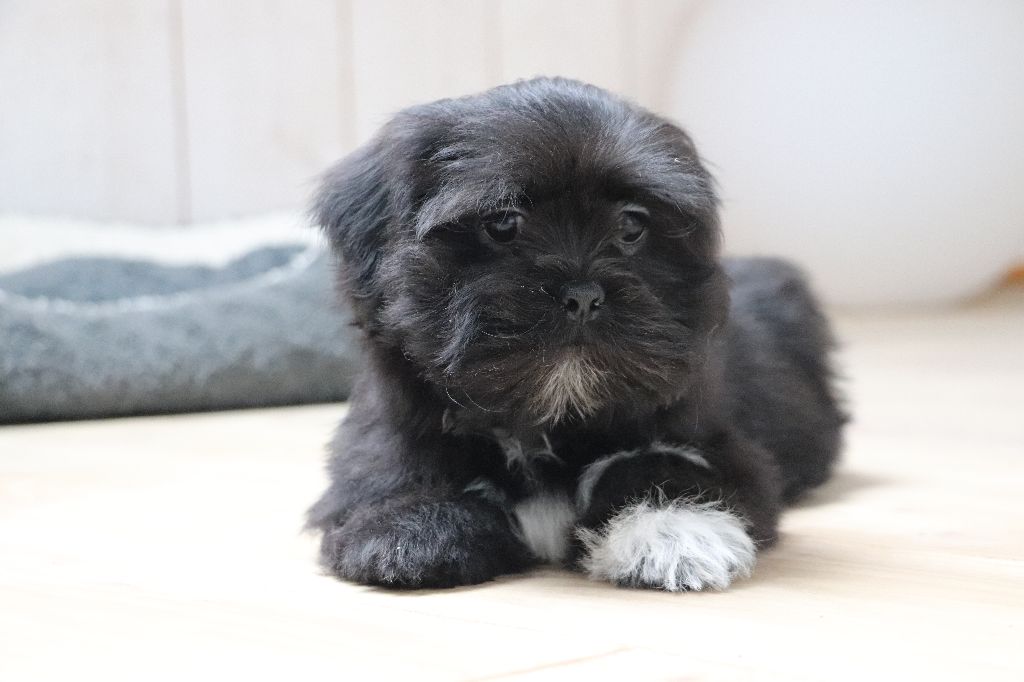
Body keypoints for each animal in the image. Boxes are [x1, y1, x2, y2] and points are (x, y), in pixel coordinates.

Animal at [306, 77, 845, 591]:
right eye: (503, 222)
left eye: (632, 225)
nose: (583, 295)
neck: (549, 417)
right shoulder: (387, 431)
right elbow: (394, 467)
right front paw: (412, 528)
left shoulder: (712, 442)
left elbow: (667, 467)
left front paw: (671, 529)